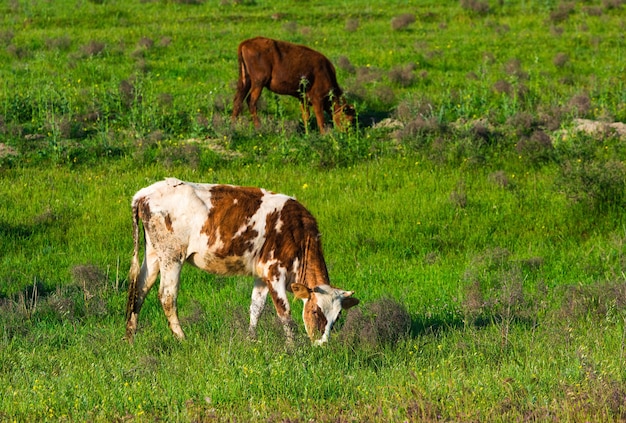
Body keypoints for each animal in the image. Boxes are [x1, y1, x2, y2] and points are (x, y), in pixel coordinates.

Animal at [124, 177, 358, 346]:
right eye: (316, 311)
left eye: (337, 318)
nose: (322, 345)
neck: (297, 233)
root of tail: (145, 193)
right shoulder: (275, 272)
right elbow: (285, 313)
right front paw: (294, 347)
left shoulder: (262, 275)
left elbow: (256, 308)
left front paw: (251, 340)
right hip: (172, 256)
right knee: (167, 296)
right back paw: (183, 339)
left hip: (154, 254)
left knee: (139, 289)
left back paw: (130, 338)